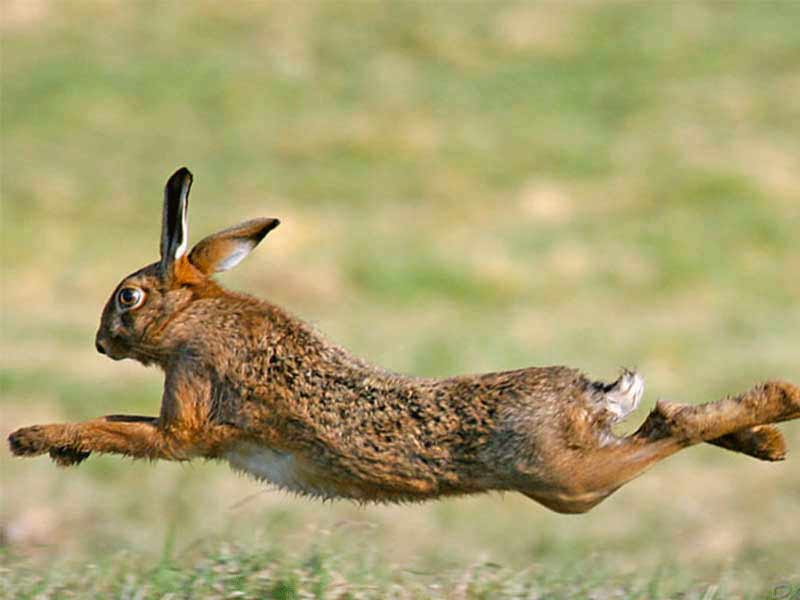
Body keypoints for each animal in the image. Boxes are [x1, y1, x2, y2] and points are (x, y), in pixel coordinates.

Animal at [8, 167, 800, 513]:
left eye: (129, 297)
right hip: (577, 470)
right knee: (659, 422)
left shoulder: (192, 413)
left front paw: (30, 438)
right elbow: (117, 419)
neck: (196, 317)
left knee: (667, 425)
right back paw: (765, 440)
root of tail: (589, 396)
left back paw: (781, 402)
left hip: (569, 482)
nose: (101, 344)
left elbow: (133, 431)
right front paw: (62, 449)